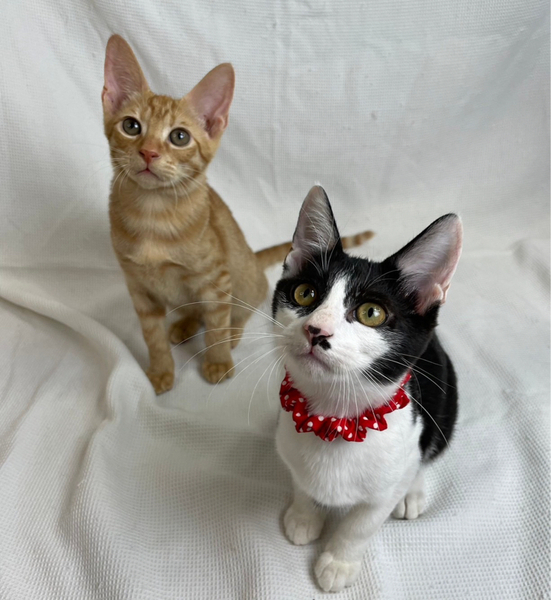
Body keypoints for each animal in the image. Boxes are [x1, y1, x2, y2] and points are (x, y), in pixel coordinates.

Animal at [102, 36, 373, 393]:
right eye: (131, 126)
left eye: (179, 137)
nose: (148, 152)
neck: (153, 213)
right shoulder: (139, 289)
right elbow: (152, 337)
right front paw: (160, 371)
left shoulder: (217, 280)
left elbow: (216, 323)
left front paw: (217, 360)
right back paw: (185, 324)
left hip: (242, 278)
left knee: (240, 308)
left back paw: (230, 333)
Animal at [272, 185, 462, 592]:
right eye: (304, 293)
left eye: (370, 313)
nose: (315, 329)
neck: (333, 420)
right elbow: (301, 483)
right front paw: (304, 516)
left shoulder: (387, 481)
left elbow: (362, 523)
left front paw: (338, 563)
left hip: (446, 398)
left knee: (427, 451)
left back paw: (413, 492)